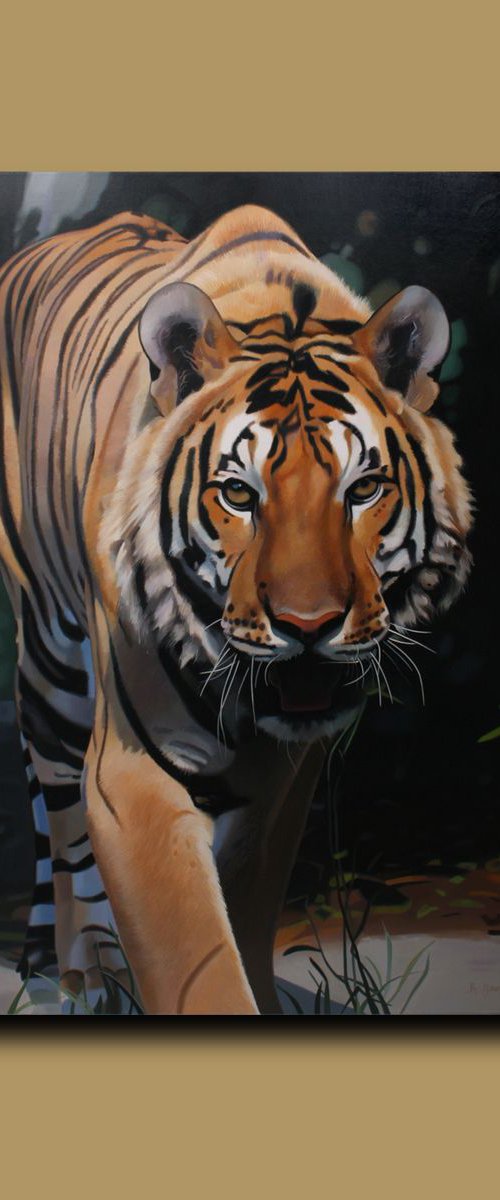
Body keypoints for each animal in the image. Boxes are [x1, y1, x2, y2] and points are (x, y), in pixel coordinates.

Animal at [0, 204, 472, 1015]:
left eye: (363, 489)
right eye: (238, 494)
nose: (309, 628)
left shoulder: (283, 774)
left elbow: (246, 902)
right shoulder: (132, 774)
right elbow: (193, 958)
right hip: (54, 666)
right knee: (59, 815)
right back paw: (86, 966)